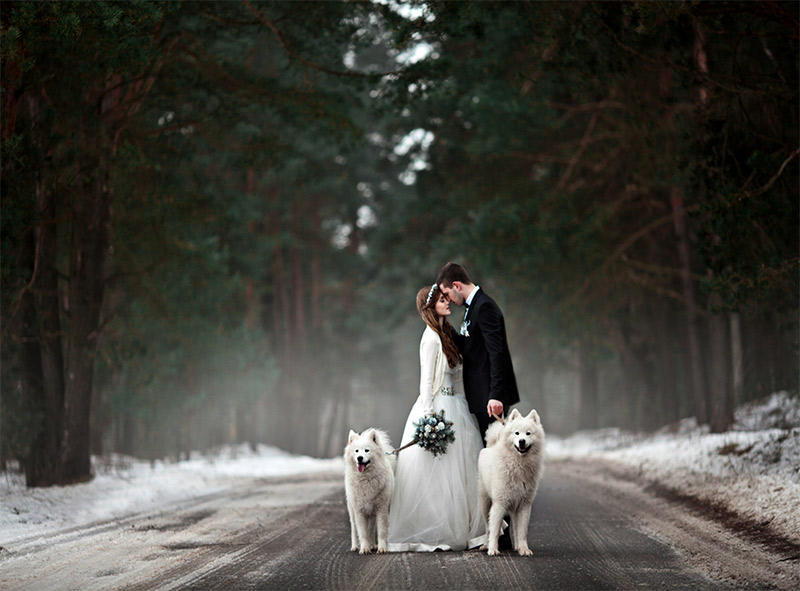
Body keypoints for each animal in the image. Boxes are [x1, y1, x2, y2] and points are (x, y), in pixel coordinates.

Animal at [482, 410, 544, 556]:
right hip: (485, 503)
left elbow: (521, 532)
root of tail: (491, 446)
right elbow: (495, 530)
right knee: (487, 527)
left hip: (514, 508)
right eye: (516, 433)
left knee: (515, 528)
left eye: (528, 433)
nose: (521, 441)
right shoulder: (499, 504)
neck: (518, 465)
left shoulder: (524, 505)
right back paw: (485, 545)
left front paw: (524, 549)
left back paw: (517, 547)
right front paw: (493, 549)